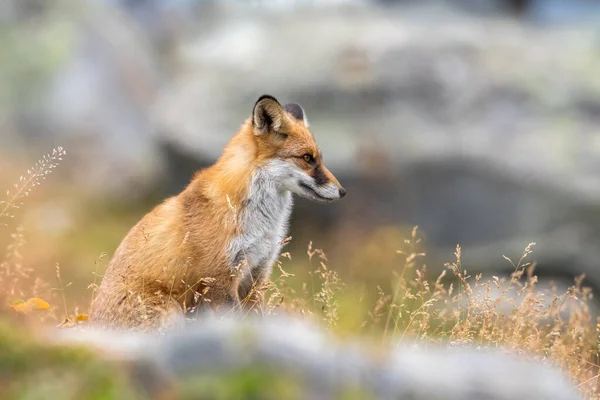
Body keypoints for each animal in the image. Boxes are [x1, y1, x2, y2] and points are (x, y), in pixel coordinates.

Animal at [86, 95, 344, 330]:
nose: (342, 192)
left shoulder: (256, 275)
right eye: (307, 158)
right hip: (169, 311)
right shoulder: (220, 279)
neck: (260, 224)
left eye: (319, 159)